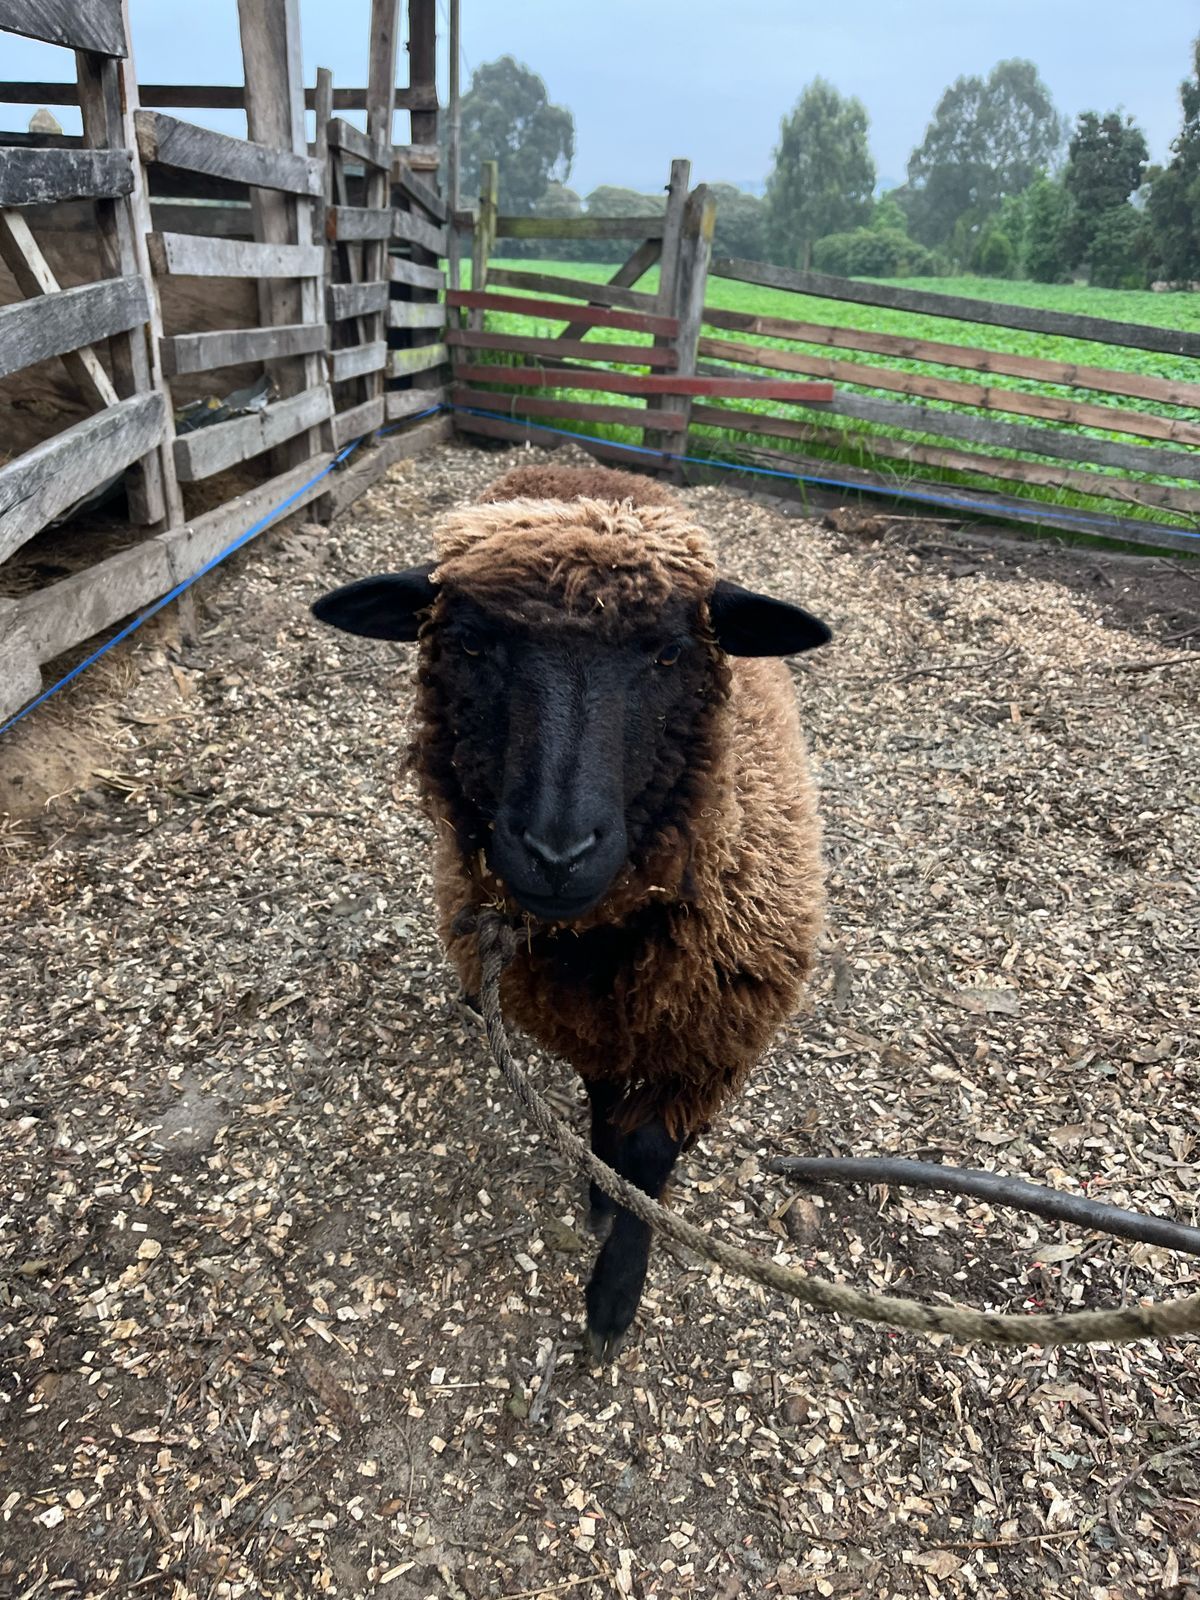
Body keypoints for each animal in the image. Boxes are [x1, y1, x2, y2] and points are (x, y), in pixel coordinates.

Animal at [312, 464, 831, 1360]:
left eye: (669, 651)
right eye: (471, 644)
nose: (557, 854)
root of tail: (580, 467)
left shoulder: (705, 1040)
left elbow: (651, 1152)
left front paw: (615, 1286)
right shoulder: (585, 1015)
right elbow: (602, 1098)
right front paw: (600, 1183)